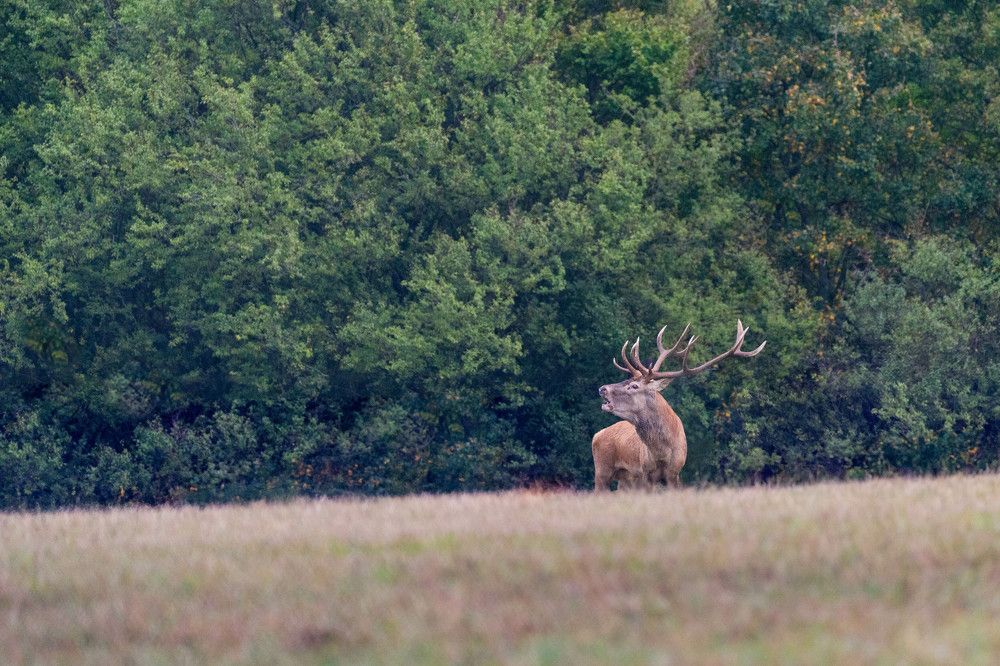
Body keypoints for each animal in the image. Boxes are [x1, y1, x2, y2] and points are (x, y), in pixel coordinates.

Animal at [593, 320, 765, 491]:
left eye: (634, 386)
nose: (602, 388)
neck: (662, 452)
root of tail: (597, 435)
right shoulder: (645, 472)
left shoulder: (674, 472)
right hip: (602, 470)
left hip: (624, 479)